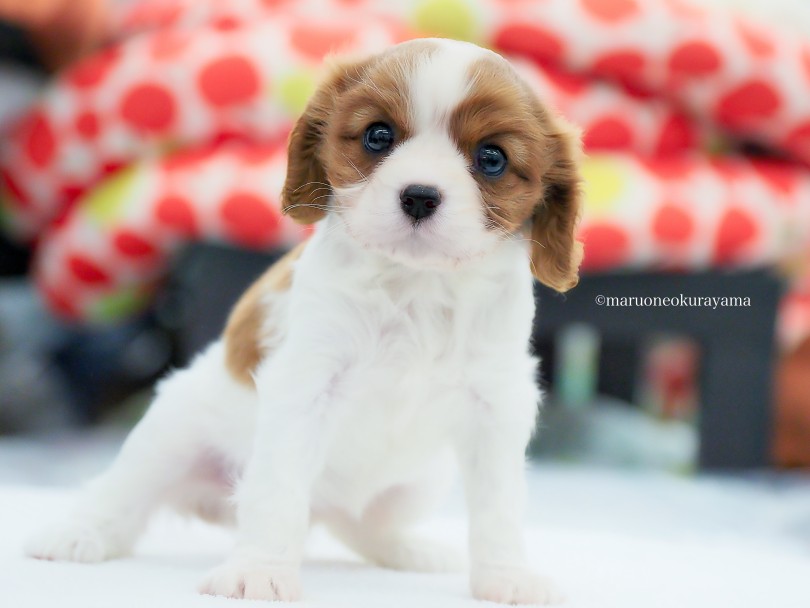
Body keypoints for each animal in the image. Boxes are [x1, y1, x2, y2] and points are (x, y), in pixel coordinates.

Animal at [25, 38, 580, 604]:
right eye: (378, 135)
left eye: (492, 159)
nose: (420, 195)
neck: (416, 284)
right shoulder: (307, 385)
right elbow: (277, 490)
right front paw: (259, 570)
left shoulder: (496, 404)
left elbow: (499, 504)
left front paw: (507, 576)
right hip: (169, 435)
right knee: (121, 493)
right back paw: (77, 534)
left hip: (418, 484)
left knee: (362, 525)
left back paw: (409, 550)